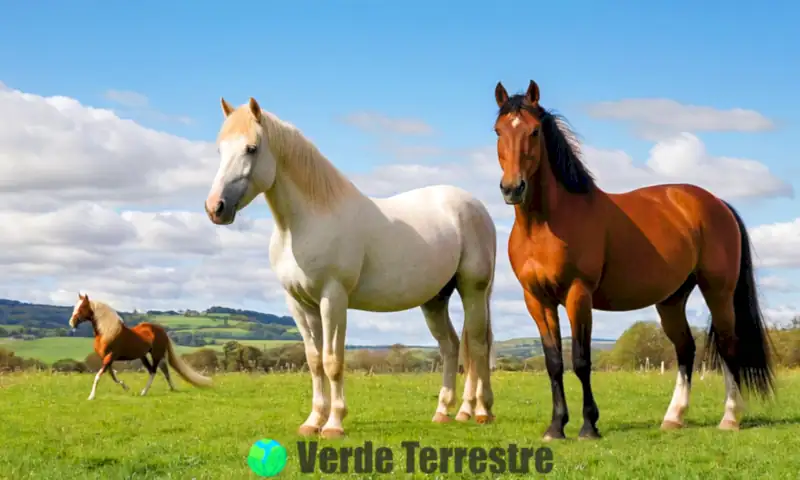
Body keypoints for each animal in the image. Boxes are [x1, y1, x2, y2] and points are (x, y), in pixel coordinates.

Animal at [69, 294, 212, 400]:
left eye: (82, 307)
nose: (72, 322)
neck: (108, 332)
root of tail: (161, 331)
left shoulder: (110, 357)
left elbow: (99, 376)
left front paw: (91, 396)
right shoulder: (106, 358)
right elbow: (112, 375)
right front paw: (125, 387)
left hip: (155, 354)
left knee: (154, 371)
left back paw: (144, 392)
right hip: (145, 356)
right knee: (163, 370)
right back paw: (172, 388)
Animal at [203, 97, 496, 438]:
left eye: (251, 148)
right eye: (220, 150)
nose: (215, 208)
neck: (306, 222)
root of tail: (475, 206)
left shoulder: (333, 298)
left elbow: (333, 361)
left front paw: (334, 424)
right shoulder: (300, 304)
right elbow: (314, 361)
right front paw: (312, 422)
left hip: (473, 289)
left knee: (477, 344)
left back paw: (479, 411)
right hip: (435, 299)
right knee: (451, 346)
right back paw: (446, 411)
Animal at [494, 80, 776, 440]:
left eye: (533, 131)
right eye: (498, 130)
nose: (512, 188)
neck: (544, 224)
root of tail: (716, 202)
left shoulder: (578, 294)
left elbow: (581, 360)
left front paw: (589, 426)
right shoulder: (537, 300)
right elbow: (554, 362)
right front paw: (556, 427)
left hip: (718, 292)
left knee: (728, 346)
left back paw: (729, 417)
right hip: (672, 300)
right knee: (686, 349)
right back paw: (673, 417)